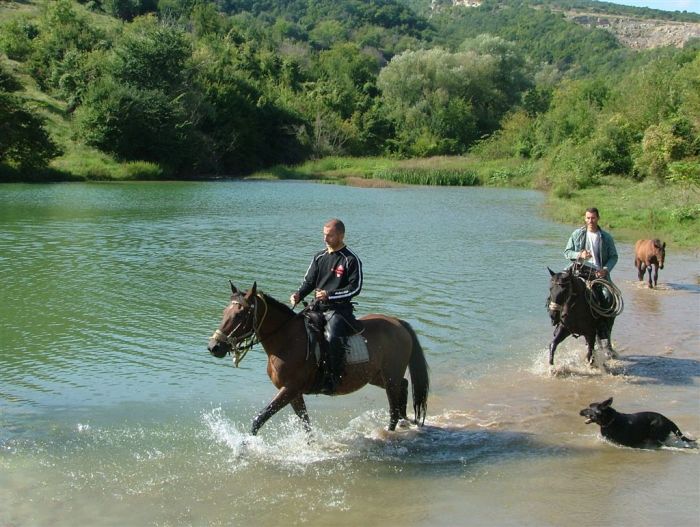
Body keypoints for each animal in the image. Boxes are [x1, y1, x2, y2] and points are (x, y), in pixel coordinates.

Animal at [205, 284, 430, 438]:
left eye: (240, 314)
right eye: (225, 312)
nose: (214, 346)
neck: (287, 340)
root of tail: (398, 323)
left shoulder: (289, 389)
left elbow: (259, 419)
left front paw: (243, 449)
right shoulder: (294, 394)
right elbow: (306, 424)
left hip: (389, 378)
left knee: (394, 408)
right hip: (377, 377)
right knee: (404, 386)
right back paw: (404, 423)